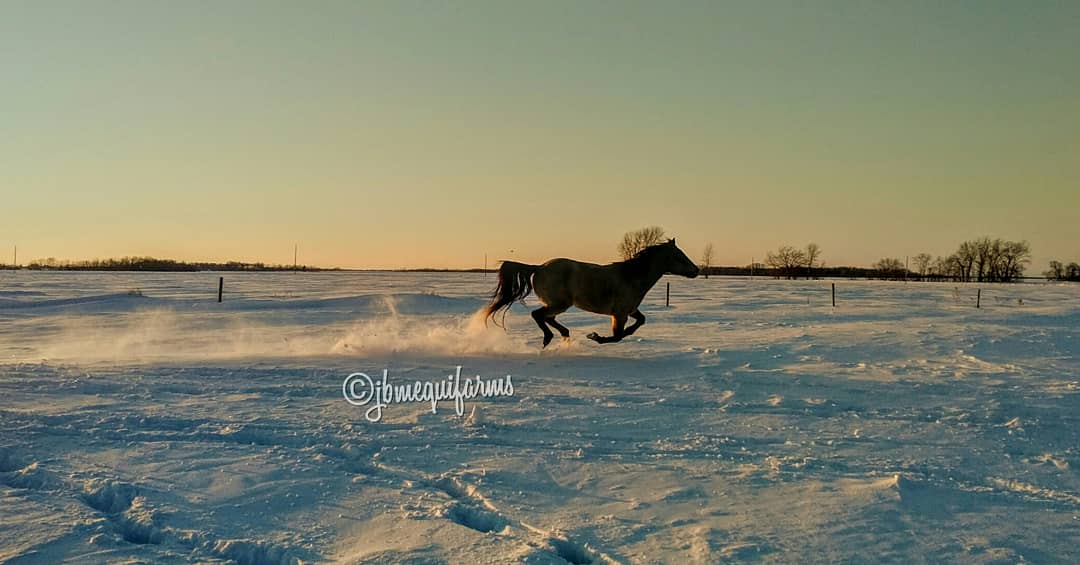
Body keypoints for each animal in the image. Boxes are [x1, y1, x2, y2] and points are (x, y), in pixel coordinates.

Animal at [482, 239, 700, 347]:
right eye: (679, 257)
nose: (696, 270)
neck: (632, 277)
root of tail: (539, 267)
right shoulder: (620, 314)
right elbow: (617, 336)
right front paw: (595, 336)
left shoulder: (629, 311)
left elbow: (640, 322)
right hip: (560, 303)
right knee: (538, 315)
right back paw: (548, 338)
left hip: (557, 304)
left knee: (547, 317)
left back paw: (563, 334)